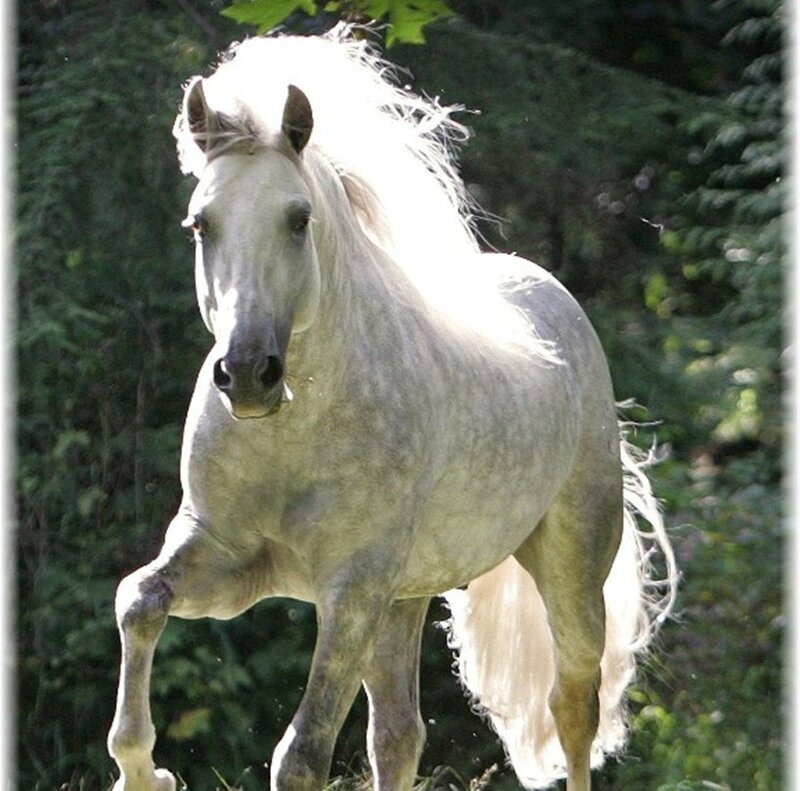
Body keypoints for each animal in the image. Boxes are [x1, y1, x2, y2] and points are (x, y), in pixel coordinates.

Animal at [107, 25, 677, 791]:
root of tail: (552, 296)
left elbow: (302, 754)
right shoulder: (224, 558)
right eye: (201, 223)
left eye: (299, 219)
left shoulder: (351, 591)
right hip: (406, 599)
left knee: (572, 705)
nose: (249, 374)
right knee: (400, 735)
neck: (294, 433)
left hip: (569, 567)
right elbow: (138, 600)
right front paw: (145, 772)